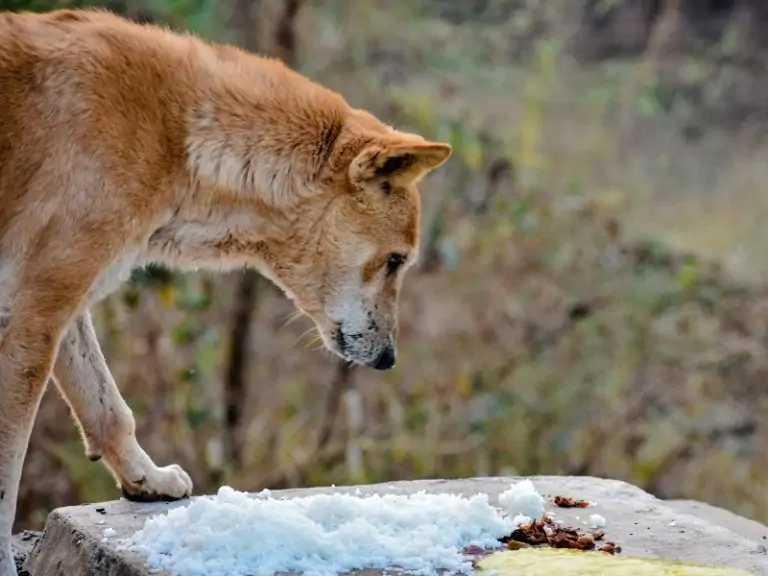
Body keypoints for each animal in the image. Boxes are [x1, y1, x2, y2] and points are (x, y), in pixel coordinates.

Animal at [0, 7, 450, 572]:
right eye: (396, 261)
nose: (390, 359)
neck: (173, 134)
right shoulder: (35, 315)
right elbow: (7, 478)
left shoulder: (59, 306)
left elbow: (109, 411)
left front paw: (147, 481)